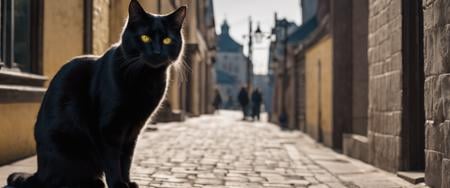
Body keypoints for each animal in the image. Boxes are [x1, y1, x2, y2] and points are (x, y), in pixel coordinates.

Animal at [5, 0, 185, 187]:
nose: (157, 52)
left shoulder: (134, 129)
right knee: (58, 180)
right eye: (145, 38)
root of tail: (39, 172)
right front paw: (118, 184)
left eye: (167, 40)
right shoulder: (109, 128)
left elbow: (126, 159)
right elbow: (113, 160)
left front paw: (128, 182)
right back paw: (92, 182)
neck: (147, 78)